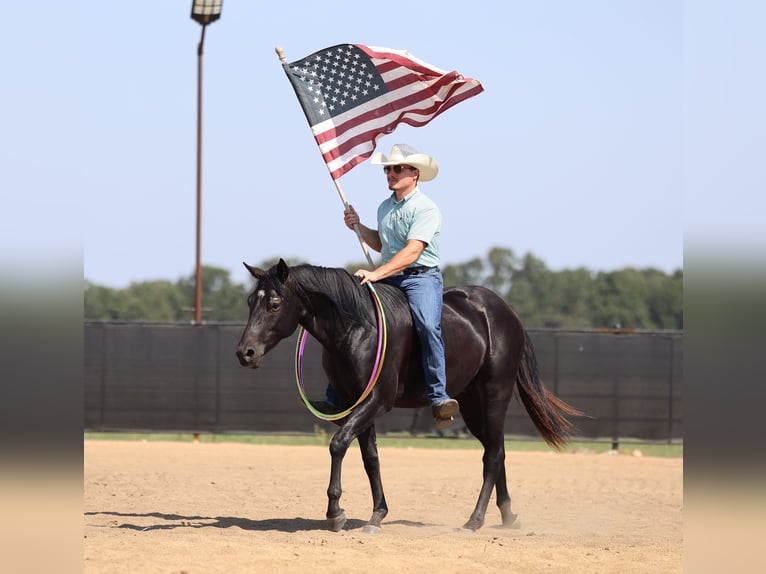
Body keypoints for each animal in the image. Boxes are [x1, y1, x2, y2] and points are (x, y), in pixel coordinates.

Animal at [236, 259, 581, 533]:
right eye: (251, 301)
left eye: (274, 304)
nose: (245, 353)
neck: (359, 327)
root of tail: (505, 311)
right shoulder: (353, 403)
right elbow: (370, 458)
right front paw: (377, 515)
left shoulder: (377, 401)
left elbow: (338, 444)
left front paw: (335, 513)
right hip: (471, 403)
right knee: (498, 450)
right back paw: (508, 516)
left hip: (496, 392)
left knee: (493, 456)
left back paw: (475, 520)